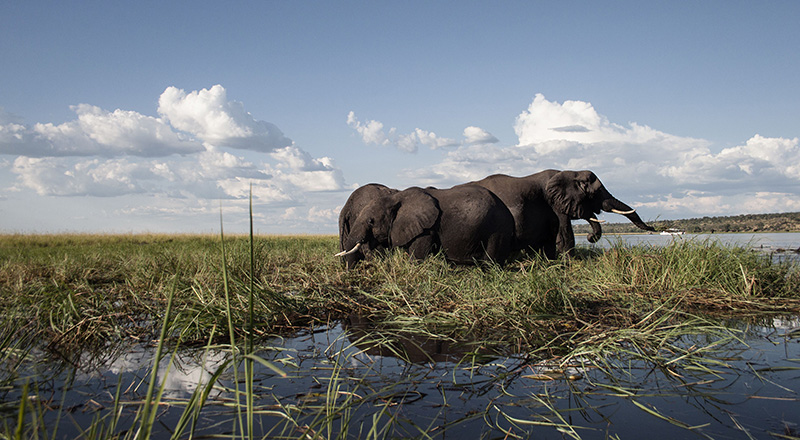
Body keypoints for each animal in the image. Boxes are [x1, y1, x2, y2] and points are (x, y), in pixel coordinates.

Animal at [336, 183, 516, 266]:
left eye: (371, 221)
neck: (396, 198)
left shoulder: (426, 229)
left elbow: (417, 257)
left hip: (497, 229)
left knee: (491, 260)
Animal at [472, 168, 652, 258]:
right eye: (597, 192)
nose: (653, 229)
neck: (571, 173)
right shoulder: (555, 204)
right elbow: (565, 235)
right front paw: (571, 263)